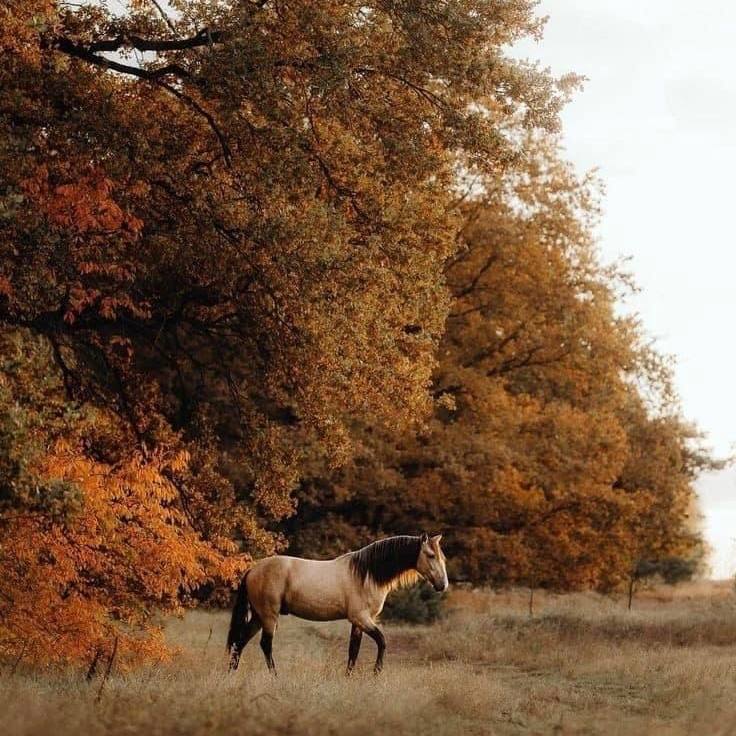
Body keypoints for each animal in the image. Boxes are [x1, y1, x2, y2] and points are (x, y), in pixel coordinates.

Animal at [227, 532, 448, 676]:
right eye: (430, 555)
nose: (443, 585)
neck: (366, 574)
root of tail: (252, 570)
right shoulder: (361, 618)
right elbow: (382, 641)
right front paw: (376, 673)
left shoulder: (358, 622)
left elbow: (354, 650)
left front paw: (348, 677)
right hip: (269, 616)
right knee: (265, 644)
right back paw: (274, 676)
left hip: (258, 617)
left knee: (240, 642)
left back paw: (231, 674)